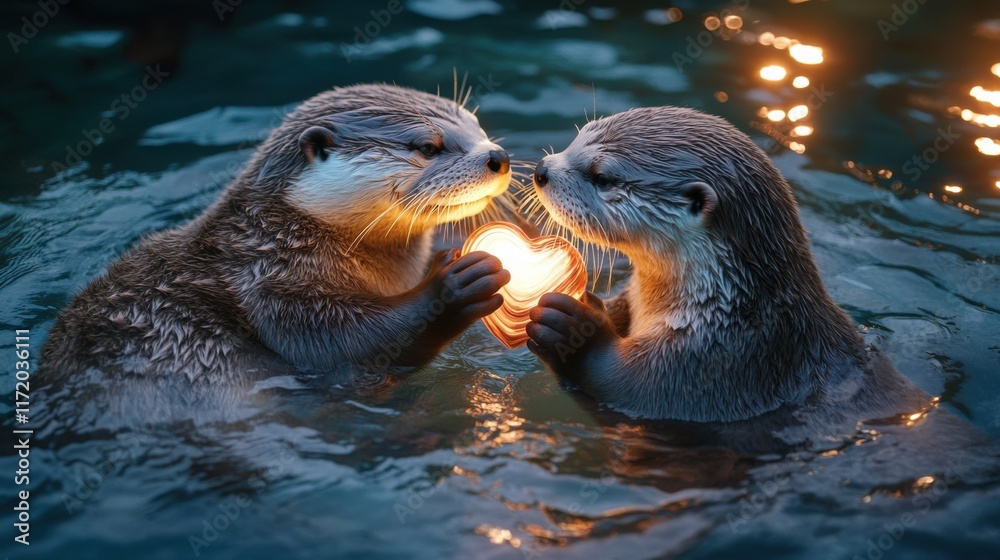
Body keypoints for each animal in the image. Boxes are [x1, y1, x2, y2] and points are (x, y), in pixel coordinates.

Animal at [41, 84, 513, 401]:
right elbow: (348, 343)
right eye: (428, 147)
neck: (288, 236)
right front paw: (453, 283)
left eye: (478, 126)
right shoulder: (268, 286)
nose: (498, 157)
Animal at [523, 106, 931, 425]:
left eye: (603, 177)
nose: (542, 169)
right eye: (579, 135)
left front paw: (572, 328)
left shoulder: (713, 365)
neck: (732, 308)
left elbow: (621, 384)